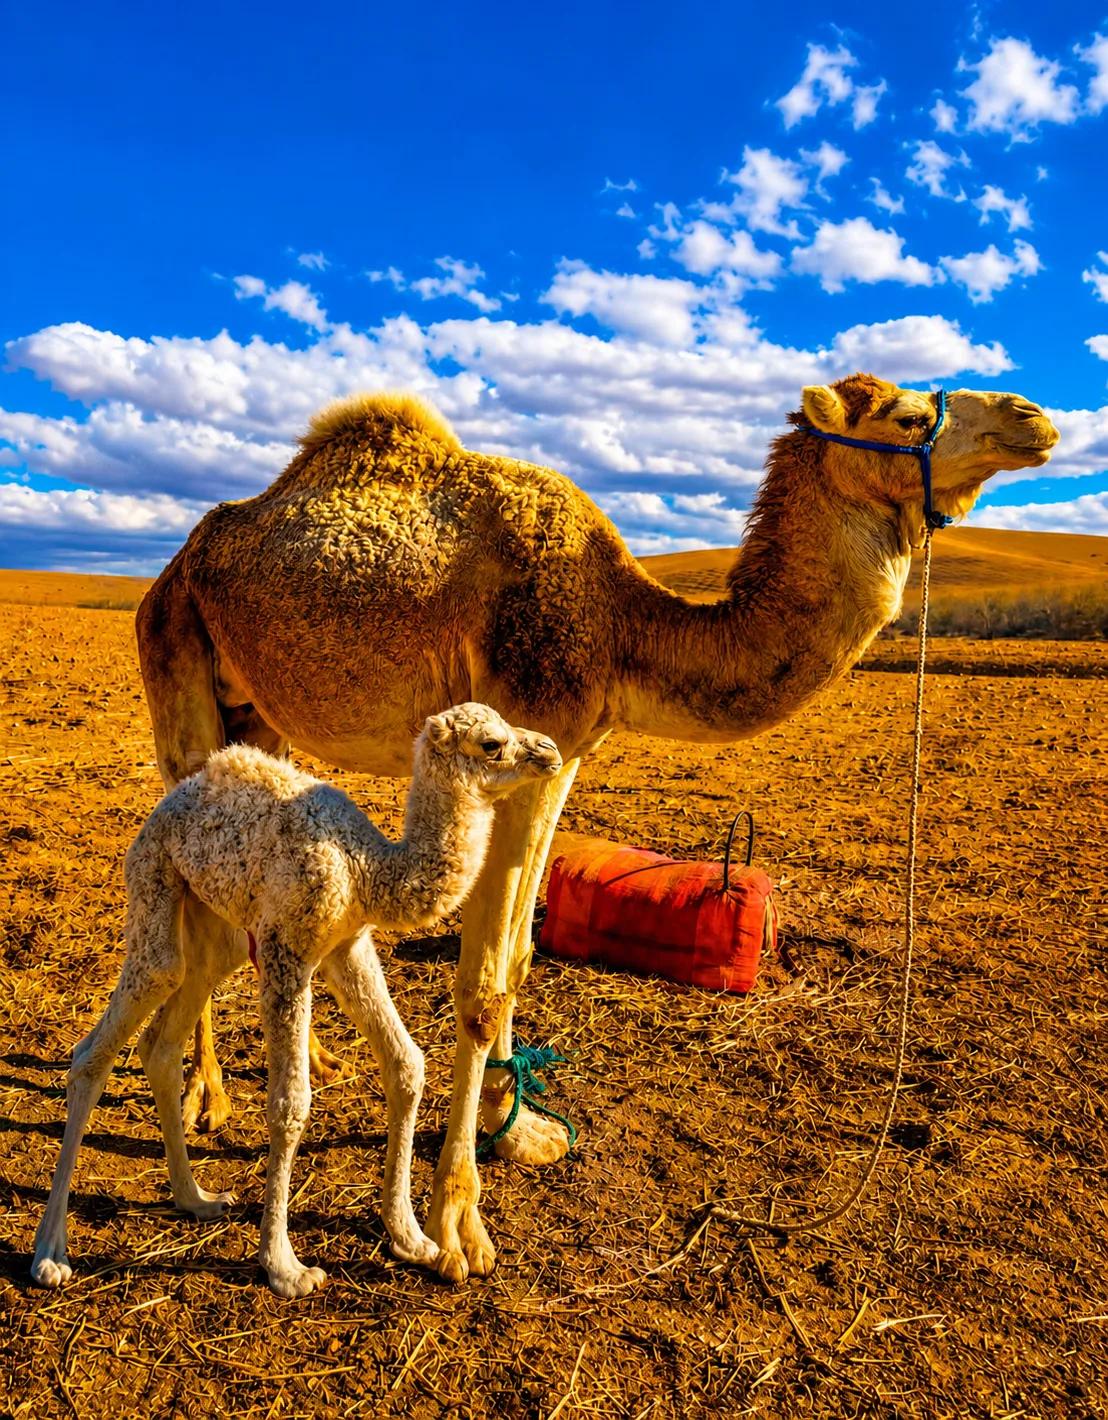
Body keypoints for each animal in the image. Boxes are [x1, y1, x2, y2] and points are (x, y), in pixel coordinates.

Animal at [31, 704, 562, 1297]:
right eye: (492, 743)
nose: (549, 750)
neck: (369, 868)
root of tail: (167, 806)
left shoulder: (347, 944)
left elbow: (406, 1064)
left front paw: (411, 1238)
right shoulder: (287, 950)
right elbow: (290, 1104)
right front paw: (284, 1265)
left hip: (216, 931)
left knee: (161, 1043)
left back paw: (196, 1198)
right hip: (153, 886)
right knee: (100, 1042)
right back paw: (50, 1253)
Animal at [136, 373, 1058, 1284]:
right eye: (906, 415)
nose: (1034, 418)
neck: (623, 627)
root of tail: (174, 567)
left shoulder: (562, 757)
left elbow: (521, 957)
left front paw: (521, 1129)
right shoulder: (515, 735)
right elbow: (483, 983)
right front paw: (458, 1224)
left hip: (261, 714)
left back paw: (315, 1060)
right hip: (174, 659)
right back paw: (208, 1096)